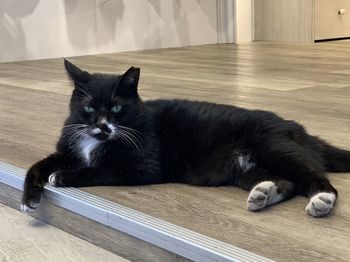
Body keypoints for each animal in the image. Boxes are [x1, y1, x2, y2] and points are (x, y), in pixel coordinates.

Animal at [21, 61, 350, 217]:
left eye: (116, 108)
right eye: (88, 108)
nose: (104, 127)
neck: (95, 141)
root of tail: (297, 128)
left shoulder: (142, 166)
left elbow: (99, 170)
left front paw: (63, 176)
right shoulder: (69, 147)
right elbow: (36, 165)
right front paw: (29, 199)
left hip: (274, 147)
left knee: (310, 175)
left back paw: (322, 200)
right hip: (246, 168)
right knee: (287, 182)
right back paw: (263, 194)